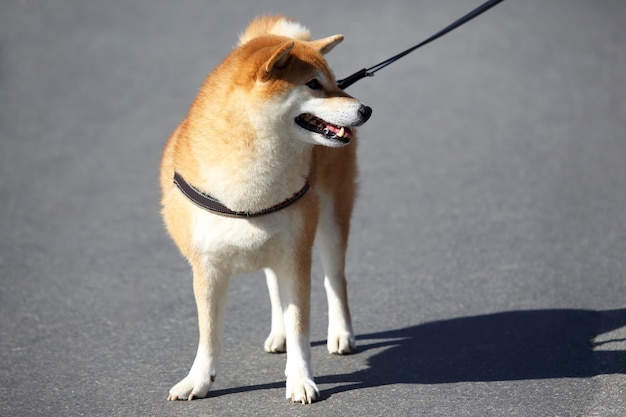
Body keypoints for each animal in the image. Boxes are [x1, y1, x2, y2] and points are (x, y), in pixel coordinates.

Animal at [158, 14, 370, 402]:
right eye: (314, 84)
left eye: (335, 82)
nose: (366, 109)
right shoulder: (207, 268)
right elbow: (209, 335)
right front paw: (198, 380)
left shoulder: (297, 256)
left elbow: (301, 326)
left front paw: (300, 380)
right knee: (275, 286)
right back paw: (279, 334)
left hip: (330, 223)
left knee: (335, 279)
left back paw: (341, 334)